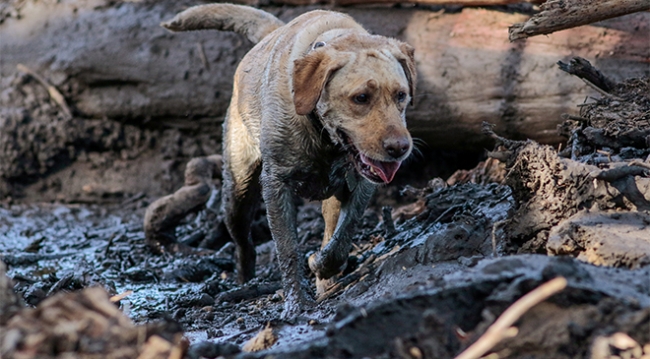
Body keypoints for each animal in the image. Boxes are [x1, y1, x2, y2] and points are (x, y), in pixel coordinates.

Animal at [162, 3, 416, 318]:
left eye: (401, 95)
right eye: (361, 97)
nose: (399, 148)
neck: (322, 134)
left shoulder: (361, 184)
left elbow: (342, 235)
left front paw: (322, 265)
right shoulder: (276, 184)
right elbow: (287, 247)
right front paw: (296, 302)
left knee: (330, 228)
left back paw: (326, 280)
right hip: (237, 191)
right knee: (243, 242)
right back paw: (244, 279)